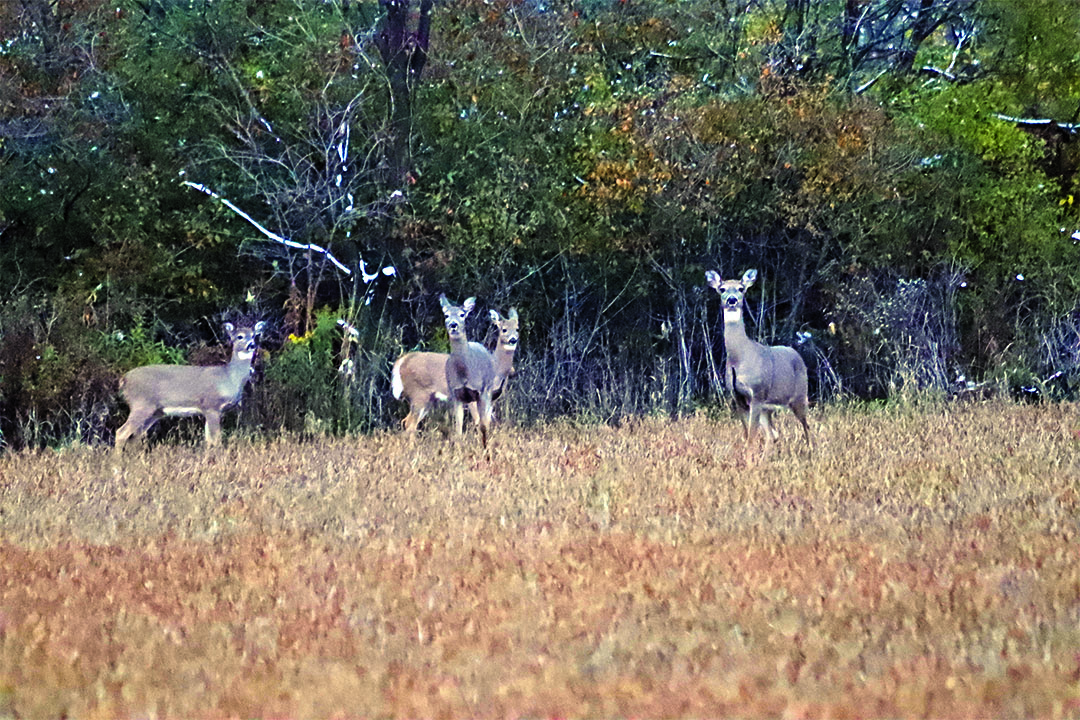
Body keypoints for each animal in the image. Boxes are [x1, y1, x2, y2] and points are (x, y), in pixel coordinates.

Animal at [114, 321, 266, 453]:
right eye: (240, 336)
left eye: (254, 335)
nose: (252, 345)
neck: (229, 377)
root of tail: (124, 379)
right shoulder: (212, 406)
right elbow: (216, 440)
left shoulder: (209, 410)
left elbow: (208, 440)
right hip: (141, 404)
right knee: (121, 432)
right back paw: (117, 464)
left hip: (155, 412)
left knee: (135, 436)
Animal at [390, 307, 519, 438]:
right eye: (504, 329)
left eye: (517, 328)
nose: (513, 339)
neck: (495, 367)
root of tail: (402, 360)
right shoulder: (474, 396)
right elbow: (478, 422)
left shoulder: (491, 399)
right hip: (418, 394)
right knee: (410, 424)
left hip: (427, 399)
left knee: (406, 421)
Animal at [706, 269, 811, 461]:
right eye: (722, 289)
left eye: (741, 288)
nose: (732, 299)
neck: (740, 358)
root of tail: (798, 355)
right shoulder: (738, 397)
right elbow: (747, 435)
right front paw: (750, 461)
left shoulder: (757, 392)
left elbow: (751, 437)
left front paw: (749, 463)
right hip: (767, 408)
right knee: (773, 434)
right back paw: (766, 459)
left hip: (800, 396)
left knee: (807, 427)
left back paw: (812, 453)